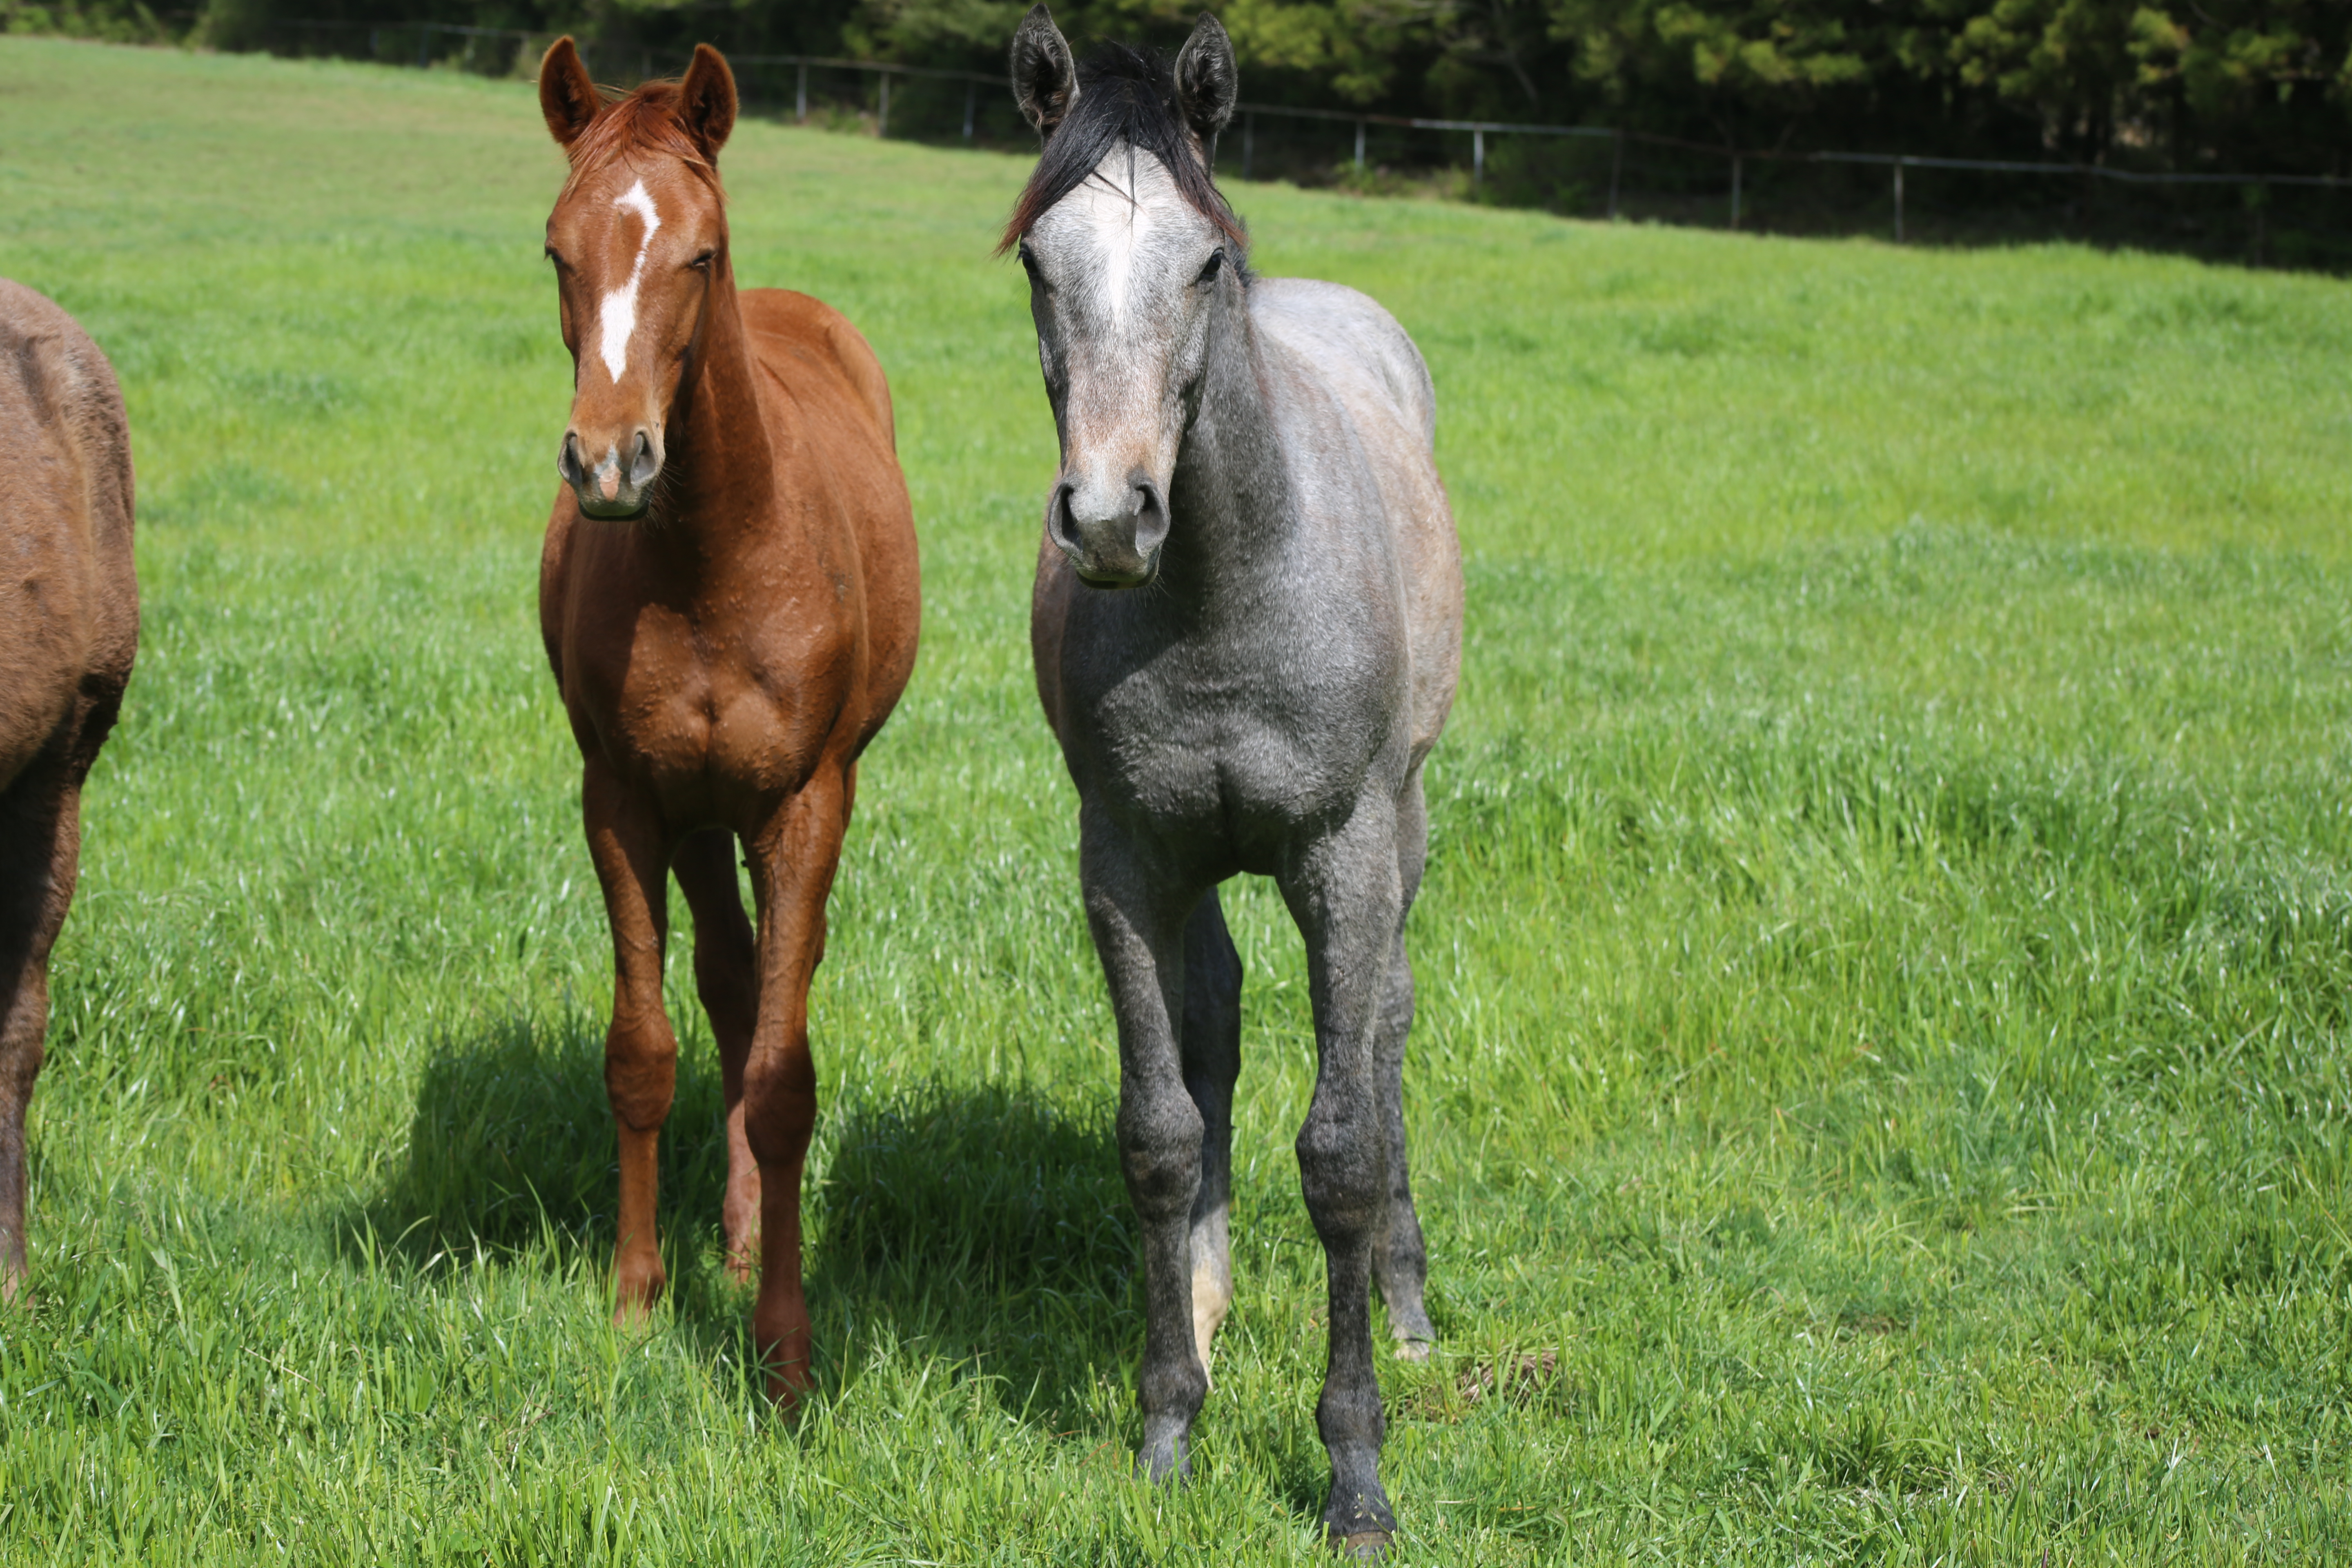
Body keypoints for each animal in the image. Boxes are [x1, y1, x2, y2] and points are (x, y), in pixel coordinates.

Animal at [539, 43, 917, 1401]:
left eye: (700, 254)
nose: (611, 463)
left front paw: (787, 1351)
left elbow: (785, 1078)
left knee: (766, 1004)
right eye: (559, 252)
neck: (714, 559)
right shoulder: (624, 798)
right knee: (730, 983)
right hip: (701, 817)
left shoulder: (807, 802)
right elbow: (645, 1051)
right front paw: (636, 1304)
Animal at [1002, 15, 1458, 1561]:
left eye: (1204, 262)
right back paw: (1203, 1319)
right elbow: (1159, 1133)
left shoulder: (1343, 857)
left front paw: (1357, 1475)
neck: (1225, 587)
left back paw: (1411, 1306)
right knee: (1217, 1027)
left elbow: (1342, 1154)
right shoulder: (1129, 863)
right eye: (1039, 261)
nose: (1107, 519)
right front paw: (1165, 1429)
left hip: (1403, 833)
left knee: (1385, 1035)